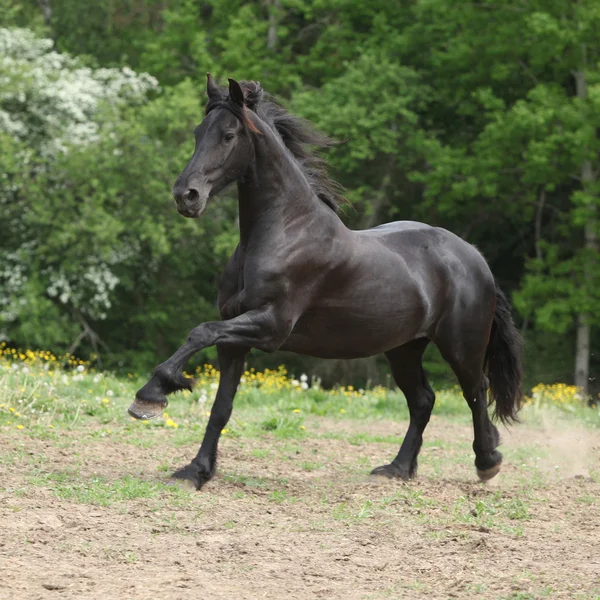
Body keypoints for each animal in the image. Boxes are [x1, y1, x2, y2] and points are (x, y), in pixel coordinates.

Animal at [129, 75, 524, 490]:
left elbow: (200, 332)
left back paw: (487, 461)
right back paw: (398, 469)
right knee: (423, 400)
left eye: (228, 135)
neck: (282, 232)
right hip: (403, 348)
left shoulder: (270, 327)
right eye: (197, 132)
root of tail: (473, 256)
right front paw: (196, 470)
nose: (185, 196)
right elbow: (221, 406)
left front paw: (151, 395)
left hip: (461, 346)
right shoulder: (234, 338)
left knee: (476, 392)